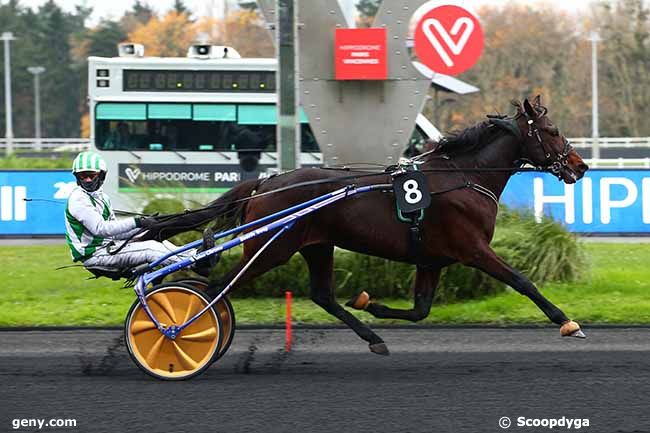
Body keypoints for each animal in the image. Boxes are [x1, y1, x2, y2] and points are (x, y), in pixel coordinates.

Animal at [142, 97, 588, 354]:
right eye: (551, 130)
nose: (580, 166)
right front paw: (567, 322)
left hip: (316, 245)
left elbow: (420, 311)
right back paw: (180, 330)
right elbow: (522, 281)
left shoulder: (432, 259)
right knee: (217, 289)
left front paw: (369, 303)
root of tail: (267, 181)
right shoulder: (472, 249)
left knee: (322, 295)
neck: (463, 176)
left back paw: (373, 338)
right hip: (272, 248)